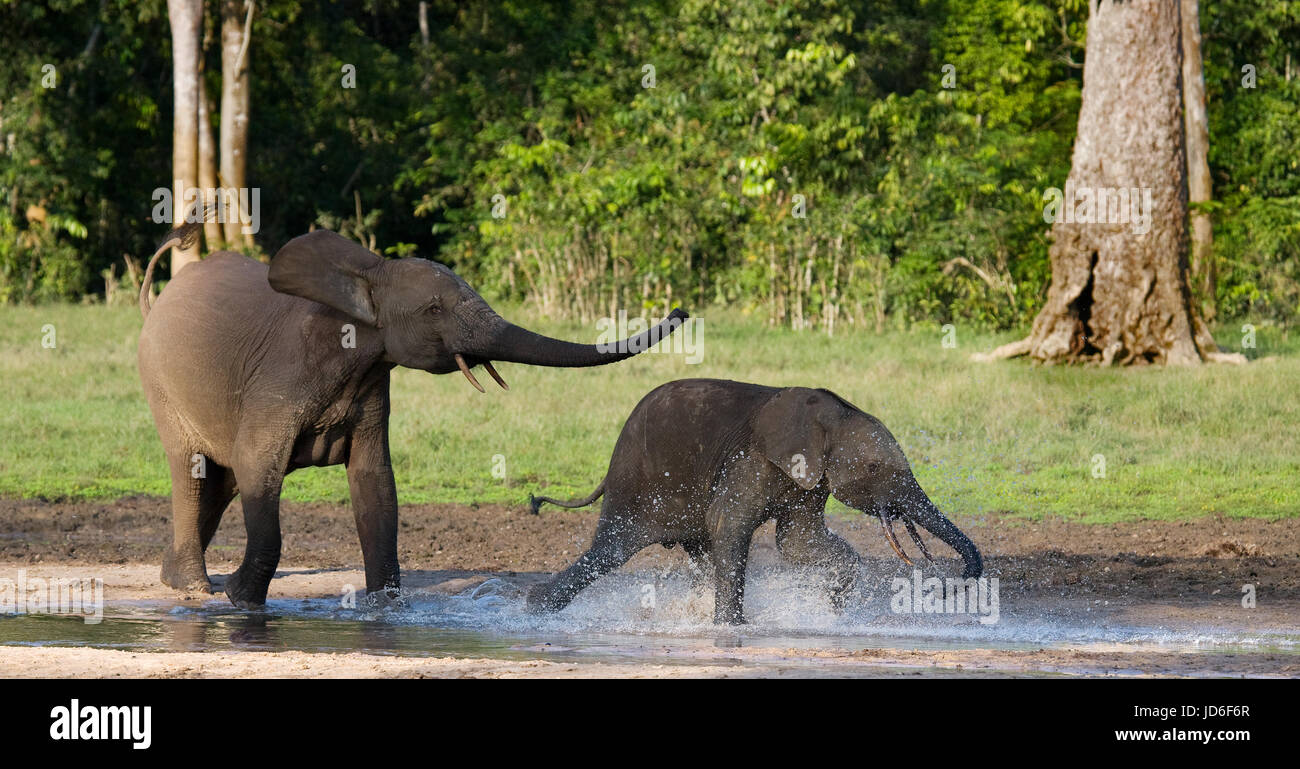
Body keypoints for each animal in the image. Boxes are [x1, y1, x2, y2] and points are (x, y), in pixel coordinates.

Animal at [138, 222, 691, 607]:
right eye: (433, 311)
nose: (682, 311)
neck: (366, 274)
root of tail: (154, 303)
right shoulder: (279, 382)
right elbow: (261, 471)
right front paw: (242, 602)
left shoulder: (371, 386)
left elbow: (376, 484)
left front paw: (387, 609)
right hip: (159, 381)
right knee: (193, 469)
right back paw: (196, 587)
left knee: (221, 478)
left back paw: (173, 577)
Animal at [527, 379, 982, 623]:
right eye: (872, 469)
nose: (955, 580)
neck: (830, 414)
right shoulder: (751, 460)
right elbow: (729, 524)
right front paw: (732, 629)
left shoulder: (808, 479)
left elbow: (798, 542)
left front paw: (833, 611)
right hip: (634, 482)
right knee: (611, 550)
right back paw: (536, 609)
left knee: (695, 550)